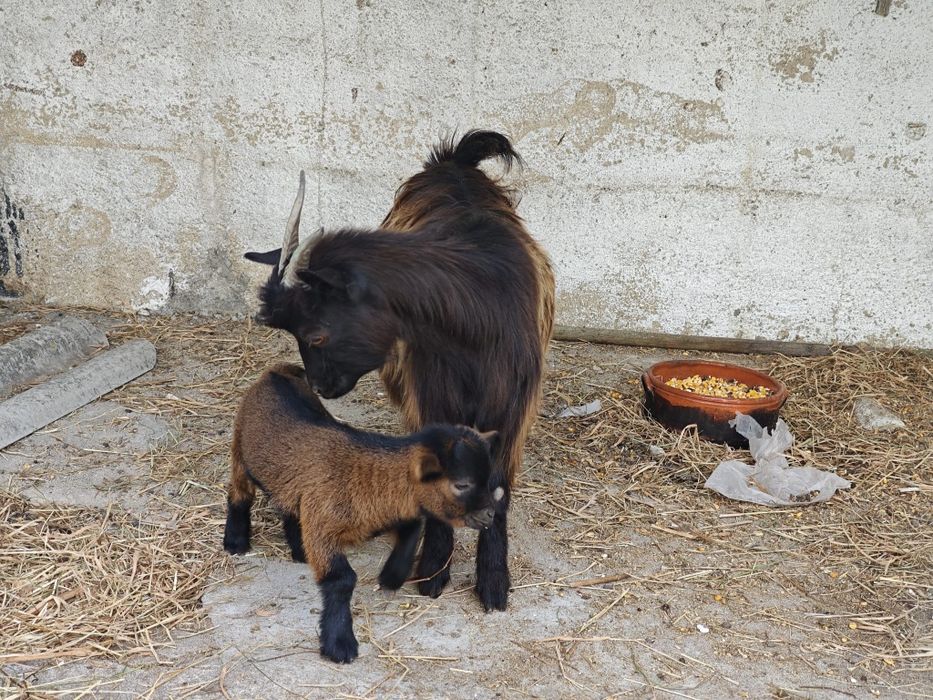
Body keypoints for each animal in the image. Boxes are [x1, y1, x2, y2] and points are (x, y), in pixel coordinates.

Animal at [223, 363, 500, 663]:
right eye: (462, 484)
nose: (490, 515)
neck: (367, 482)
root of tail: (276, 371)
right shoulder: (323, 526)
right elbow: (342, 580)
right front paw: (340, 643)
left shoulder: (382, 515)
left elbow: (412, 529)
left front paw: (391, 577)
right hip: (240, 451)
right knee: (239, 495)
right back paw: (235, 542)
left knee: (289, 507)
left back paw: (299, 551)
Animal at [244, 130, 555, 612]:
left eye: (316, 334)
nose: (320, 386)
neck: (479, 314)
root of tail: (454, 159)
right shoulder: (432, 398)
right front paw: (432, 573)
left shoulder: (512, 409)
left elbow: (499, 488)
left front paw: (493, 584)